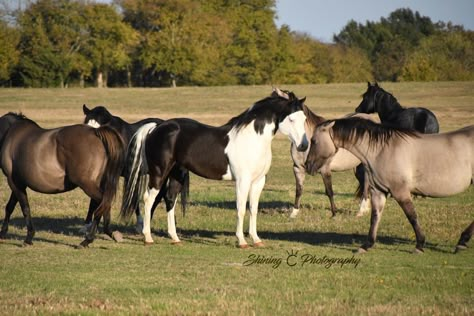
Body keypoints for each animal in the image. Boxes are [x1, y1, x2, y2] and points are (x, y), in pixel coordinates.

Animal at [120, 89, 310, 247]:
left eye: (305, 119)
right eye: (291, 118)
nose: (303, 146)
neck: (253, 139)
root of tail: (156, 127)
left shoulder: (258, 181)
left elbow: (253, 209)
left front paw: (256, 240)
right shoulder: (242, 181)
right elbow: (241, 209)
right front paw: (241, 241)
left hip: (176, 174)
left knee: (170, 199)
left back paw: (175, 238)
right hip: (159, 173)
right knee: (148, 199)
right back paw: (148, 238)